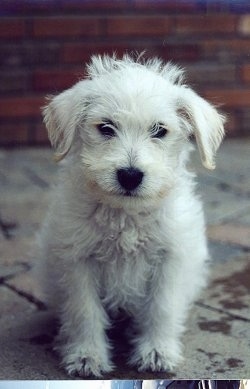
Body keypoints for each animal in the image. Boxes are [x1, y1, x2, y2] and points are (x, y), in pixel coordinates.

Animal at [38, 53, 226, 376]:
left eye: (159, 130)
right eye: (106, 128)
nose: (130, 175)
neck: (126, 216)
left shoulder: (169, 259)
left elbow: (162, 308)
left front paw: (157, 351)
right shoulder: (78, 261)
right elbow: (84, 311)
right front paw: (87, 355)